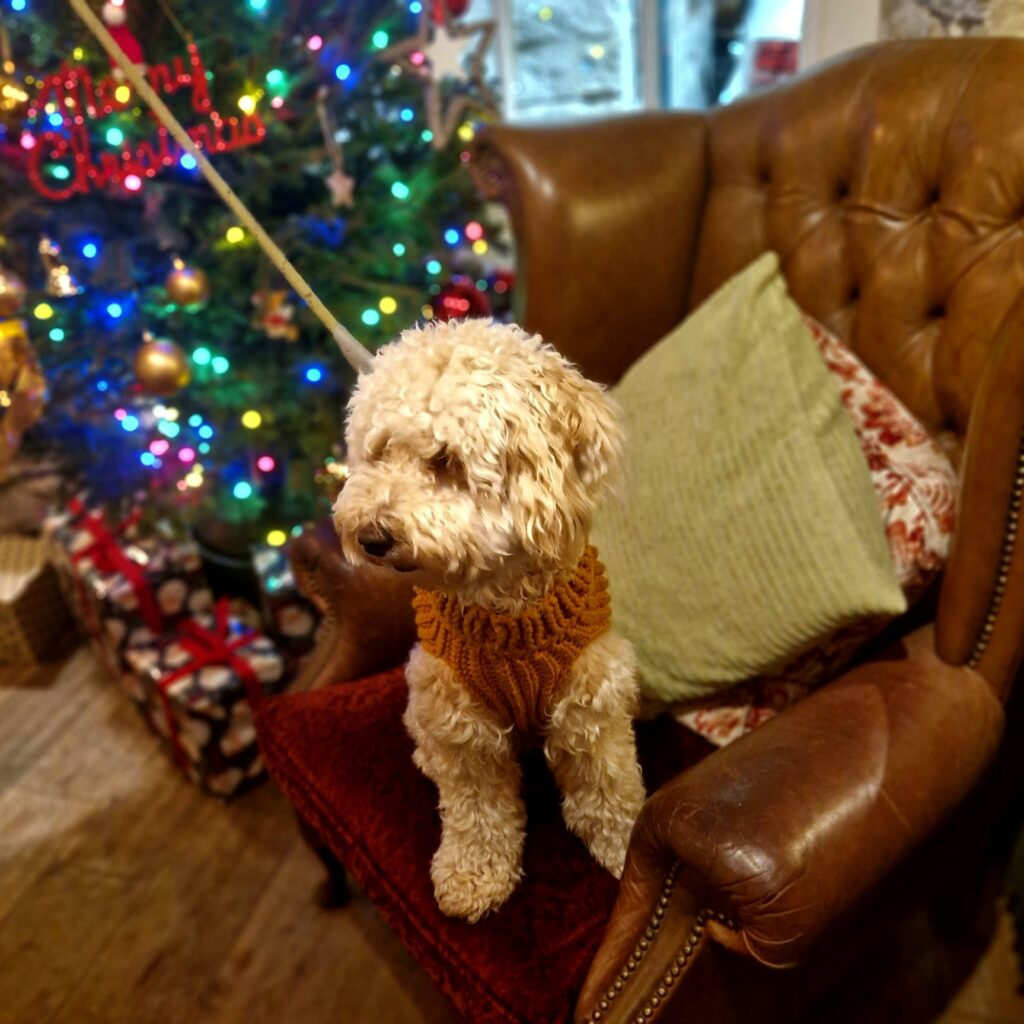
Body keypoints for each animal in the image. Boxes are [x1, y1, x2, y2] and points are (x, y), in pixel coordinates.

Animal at [331, 317, 643, 921]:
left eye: (444, 460)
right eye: (378, 453)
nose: (371, 537)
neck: (507, 612)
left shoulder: (592, 699)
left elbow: (608, 785)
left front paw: (628, 846)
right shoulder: (459, 722)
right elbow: (478, 811)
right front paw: (474, 876)